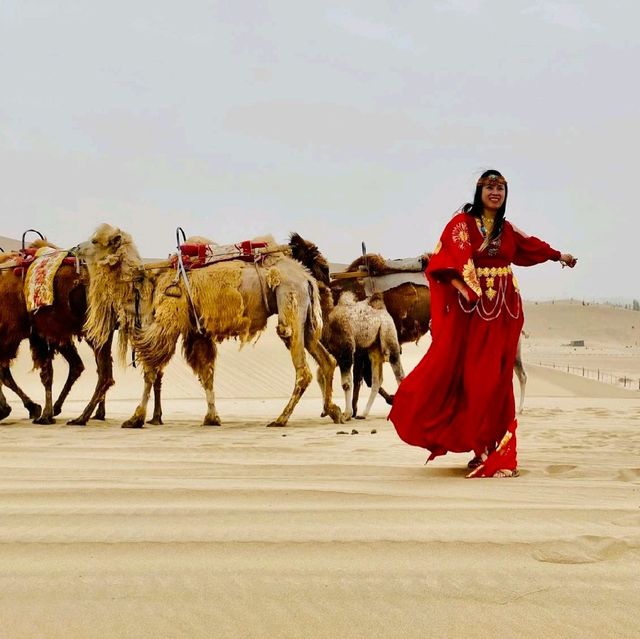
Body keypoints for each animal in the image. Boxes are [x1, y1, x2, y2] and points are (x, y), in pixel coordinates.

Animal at [79, 225, 344, 430]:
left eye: (95, 241)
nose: (75, 249)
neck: (149, 287)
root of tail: (306, 277)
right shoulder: (198, 333)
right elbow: (206, 373)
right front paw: (211, 418)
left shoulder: (167, 322)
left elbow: (151, 371)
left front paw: (135, 418)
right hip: (305, 319)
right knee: (327, 360)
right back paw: (334, 411)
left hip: (289, 302)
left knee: (303, 369)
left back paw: (280, 419)